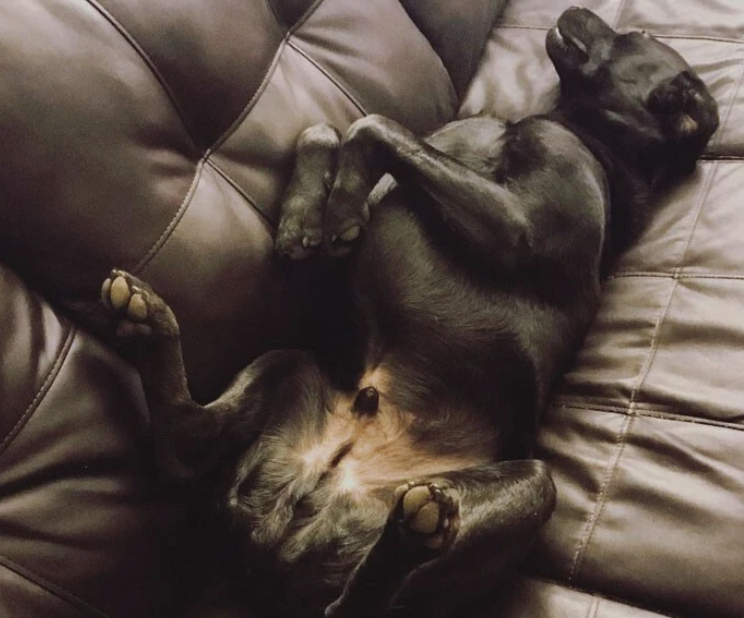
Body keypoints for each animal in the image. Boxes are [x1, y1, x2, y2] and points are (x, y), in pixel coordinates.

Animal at [99, 9, 716, 616]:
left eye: (637, 34)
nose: (576, 10)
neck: (590, 135)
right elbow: (327, 130)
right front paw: (305, 219)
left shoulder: (517, 232)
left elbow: (374, 126)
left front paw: (342, 202)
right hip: (291, 365)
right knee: (185, 443)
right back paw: (147, 324)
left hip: (533, 487)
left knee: (362, 604)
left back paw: (415, 532)